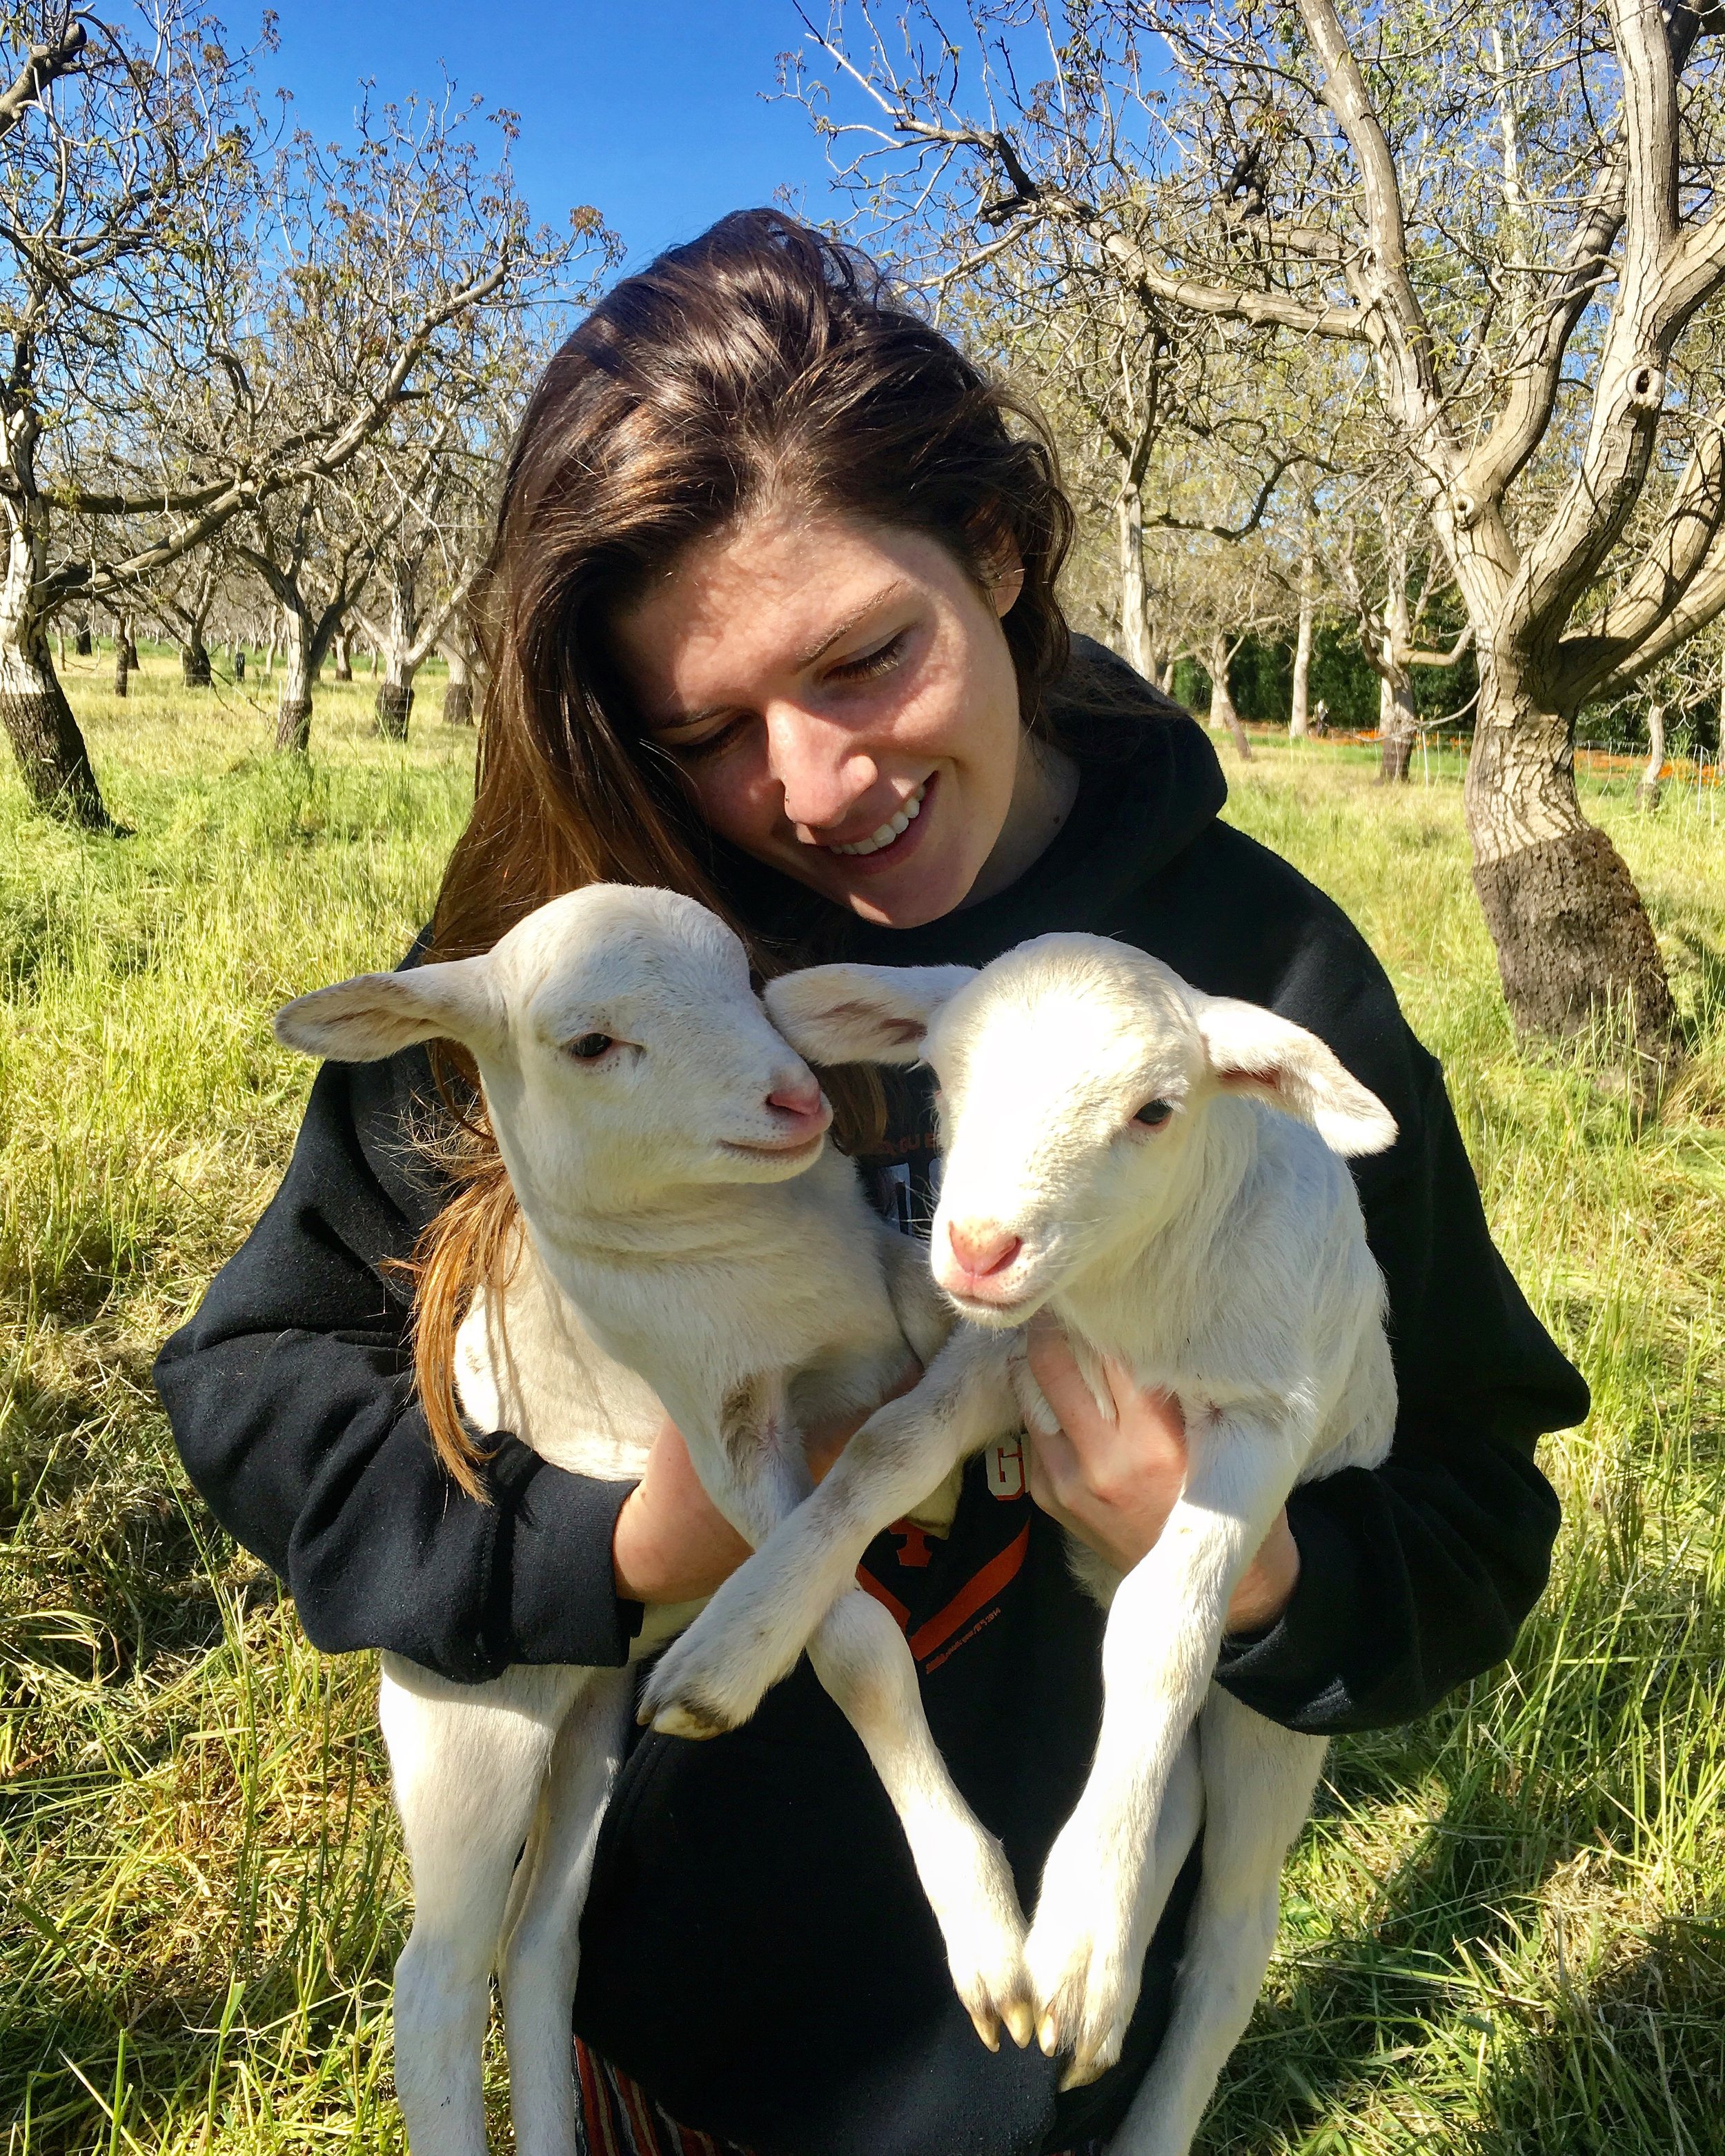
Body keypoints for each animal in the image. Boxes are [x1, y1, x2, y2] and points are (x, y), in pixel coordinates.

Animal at [273, 884, 1039, 2156]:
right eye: (590, 1045)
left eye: (744, 975)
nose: (796, 1099)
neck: (760, 1260)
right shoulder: (722, 1433)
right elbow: (857, 1647)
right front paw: (985, 1935)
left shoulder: (890, 1299)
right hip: (464, 1728)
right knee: (436, 1984)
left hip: (590, 1718)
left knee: (540, 1940)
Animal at [638, 931, 1397, 2156]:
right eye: (944, 1076)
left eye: (1154, 1110)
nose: (980, 1248)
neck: (1130, 1294)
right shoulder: (1008, 1354)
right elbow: (880, 1455)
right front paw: (735, 1637)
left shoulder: (1262, 1420)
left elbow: (1165, 1626)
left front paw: (1083, 1944)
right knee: (1166, 1795)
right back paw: (1091, 1983)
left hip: (1275, 1729)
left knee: (1233, 1930)